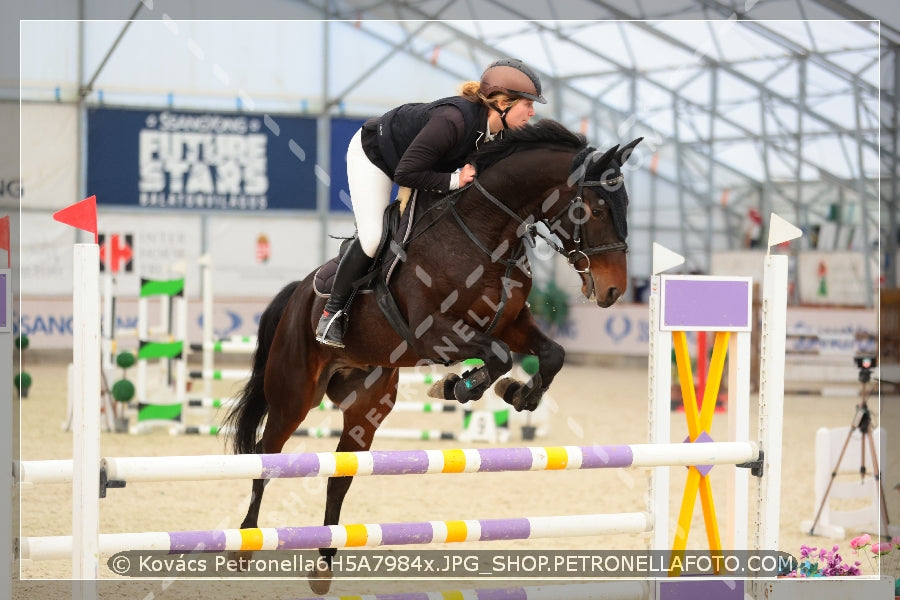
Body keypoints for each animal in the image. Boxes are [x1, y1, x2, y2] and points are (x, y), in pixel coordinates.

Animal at [223, 118, 640, 592]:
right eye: (595, 210)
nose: (613, 291)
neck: (488, 232)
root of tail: (297, 292)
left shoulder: (511, 323)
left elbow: (551, 354)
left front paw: (516, 395)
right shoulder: (434, 334)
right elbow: (498, 356)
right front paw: (458, 385)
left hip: (366, 407)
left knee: (340, 476)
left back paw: (324, 564)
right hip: (294, 396)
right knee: (266, 455)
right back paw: (245, 544)